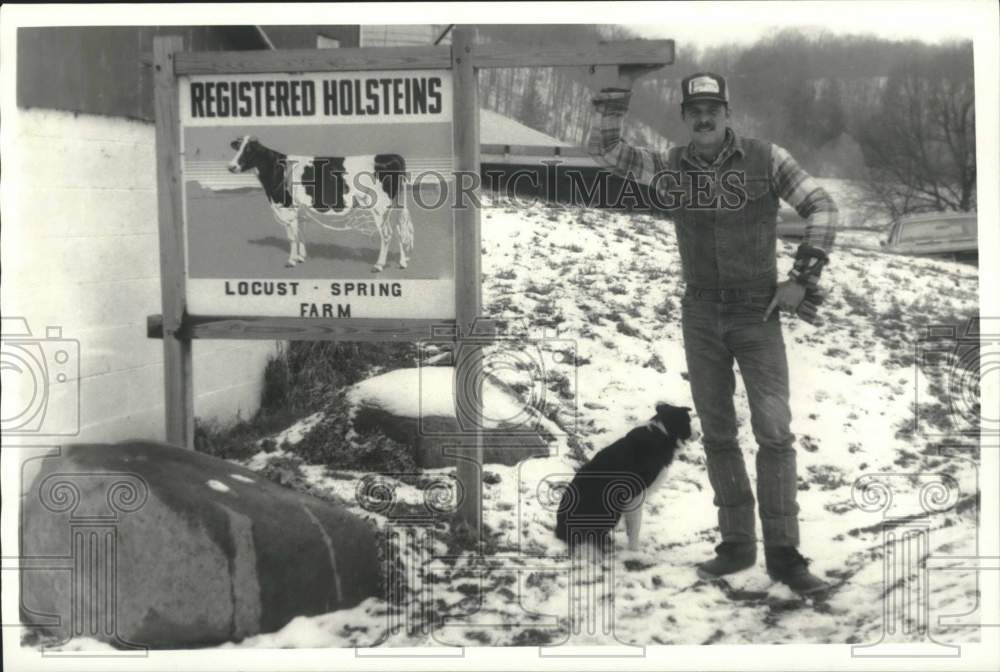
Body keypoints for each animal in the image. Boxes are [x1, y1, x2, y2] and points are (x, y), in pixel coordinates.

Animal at [556, 404, 696, 552]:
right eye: (688, 422)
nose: (699, 434)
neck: (662, 433)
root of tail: (559, 530)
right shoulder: (635, 496)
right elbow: (635, 527)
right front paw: (634, 550)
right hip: (610, 509)